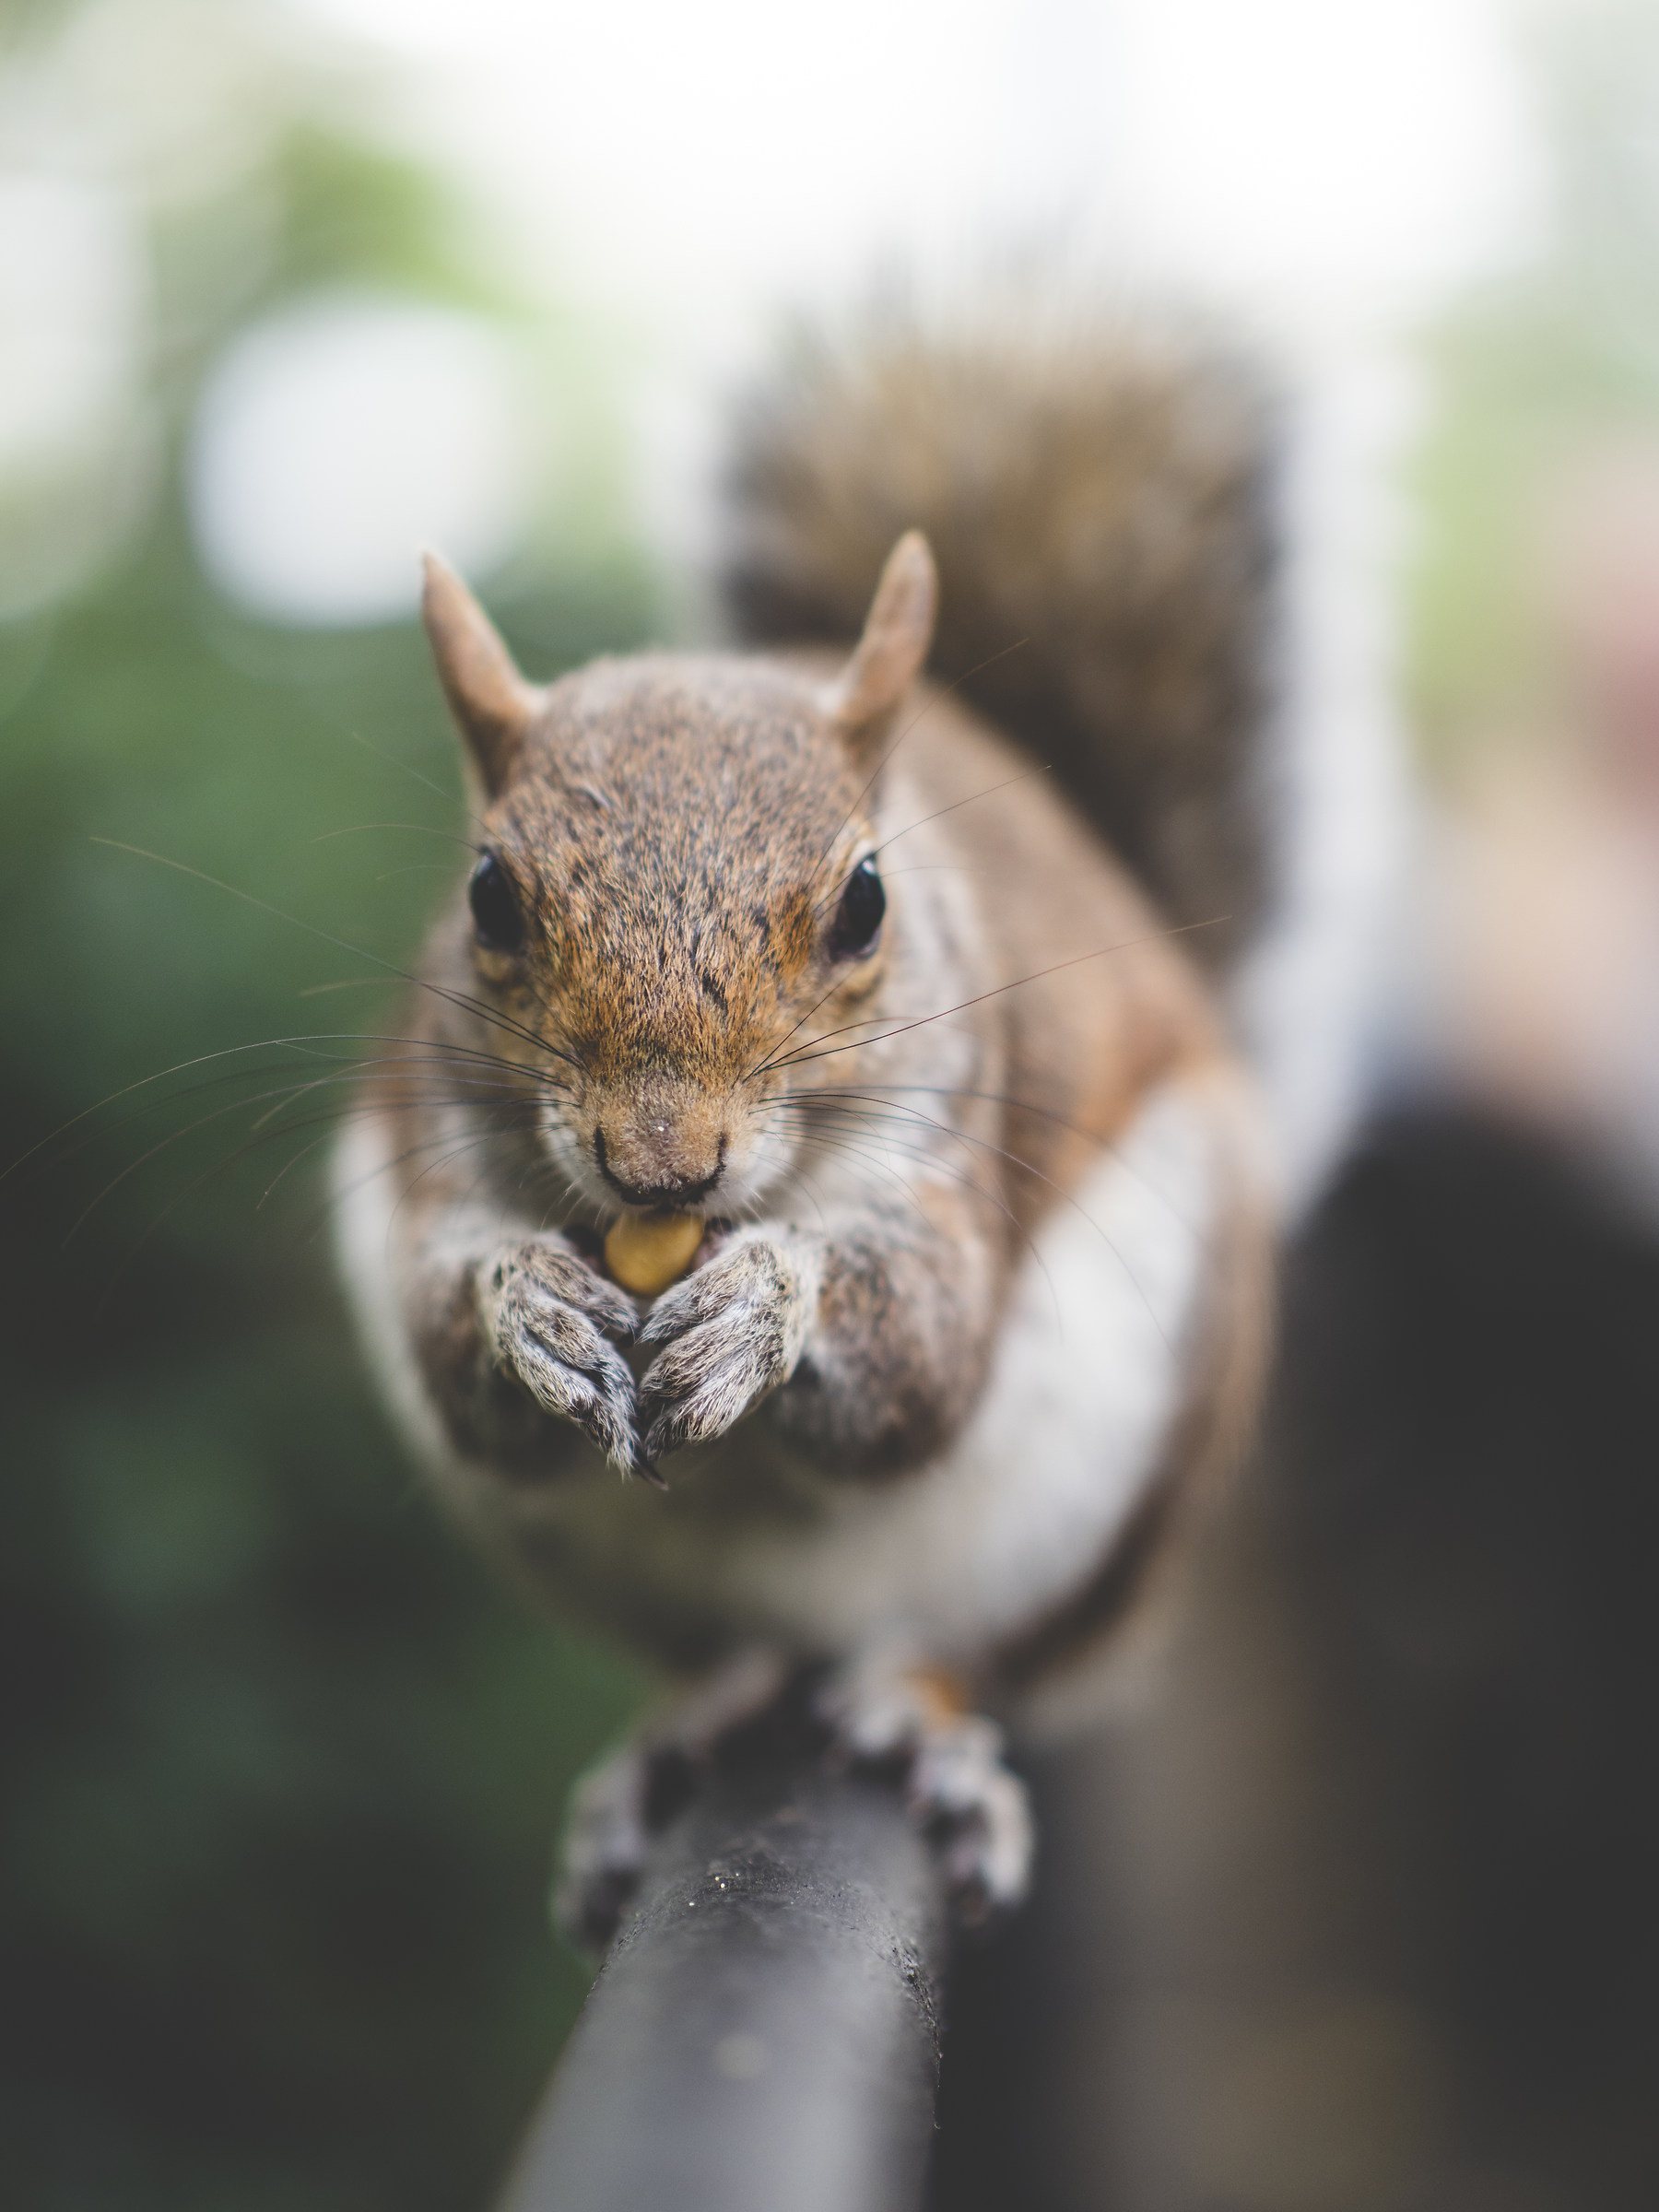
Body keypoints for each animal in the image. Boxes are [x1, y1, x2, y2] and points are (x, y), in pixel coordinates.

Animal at [333, 305, 1279, 1943]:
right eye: (487, 898)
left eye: (867, 903)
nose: (661, 1166)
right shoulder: (439, 1142)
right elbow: (459, 1338)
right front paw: (533, 1307)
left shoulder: (955, 1143)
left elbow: (920, 1350)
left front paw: (765, 1308)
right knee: (725, 1658)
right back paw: (676, 1736)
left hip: (1113, 1487)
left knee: (974, 1652)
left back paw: (925, 1723)